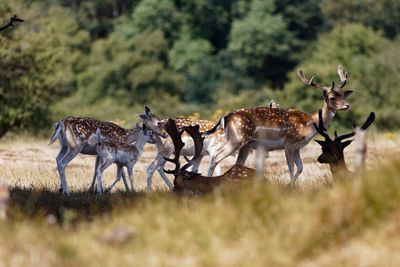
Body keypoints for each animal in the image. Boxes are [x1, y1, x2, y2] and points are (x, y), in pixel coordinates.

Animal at [205, 65, 352, 185]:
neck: (309, 125)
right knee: (215, 156)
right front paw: (291, 187)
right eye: (332, 97)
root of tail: (225, 117)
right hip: (236, 139)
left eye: (343, 95)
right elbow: (291, 167)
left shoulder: (297, 147)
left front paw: (290, 185)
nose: (347, 105)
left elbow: (300, 168)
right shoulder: (288, 143)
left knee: (234, 163)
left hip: (243, 145)